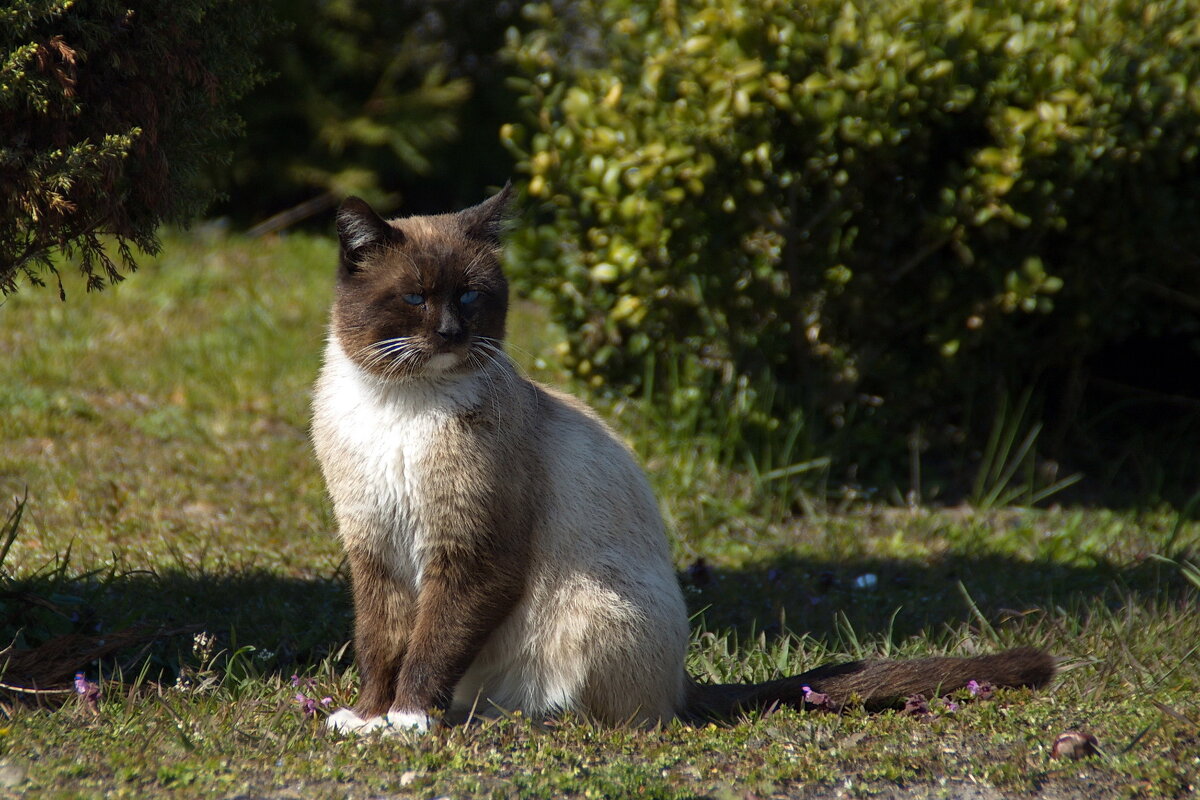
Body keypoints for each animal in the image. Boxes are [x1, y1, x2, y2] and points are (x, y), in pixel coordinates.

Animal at [309, 184, 1051, 734]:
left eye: (468, 297)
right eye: (414, 298)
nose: (450, 332)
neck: (401, 408)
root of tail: (686, 681)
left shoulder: (470, 553)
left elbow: (430, 647)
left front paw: (408, 719)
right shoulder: (374, 548)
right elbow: (380, 645)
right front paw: (368, 717)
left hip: (590, 609)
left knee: (619, 718)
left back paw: (510, 721)